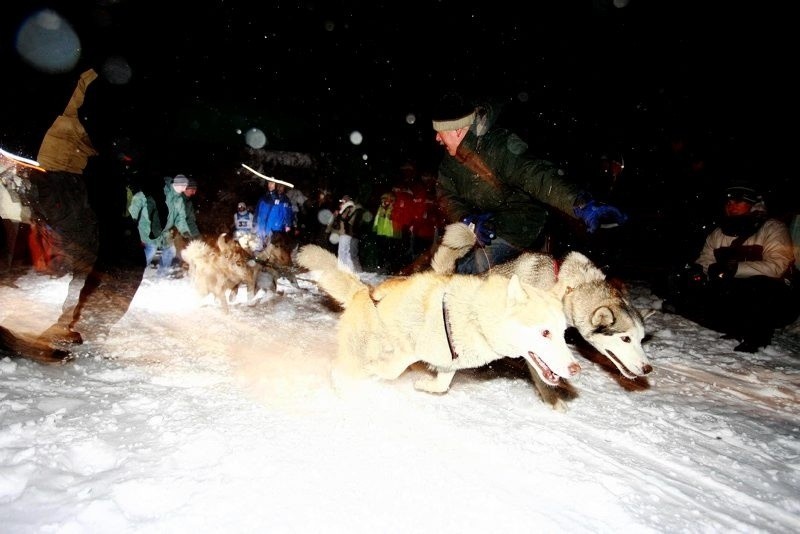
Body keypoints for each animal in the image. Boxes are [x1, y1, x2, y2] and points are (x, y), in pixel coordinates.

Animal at [296, 245, 580, 396]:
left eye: (563, 334)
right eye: (545, 333)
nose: (576, 368)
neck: (474, 318)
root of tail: (361, 291)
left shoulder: (447, 362)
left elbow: (441, 385)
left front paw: (423, 384)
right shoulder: (407, 348)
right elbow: (391, 369)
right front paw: (377, 372)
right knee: (341, 369)